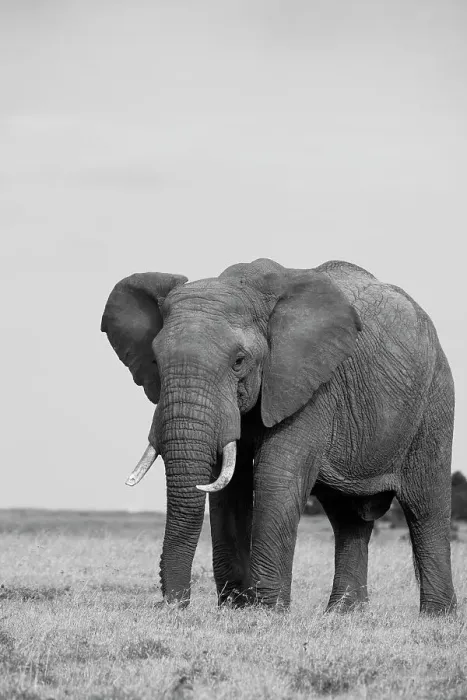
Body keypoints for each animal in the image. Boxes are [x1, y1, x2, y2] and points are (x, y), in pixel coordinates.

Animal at [101, 258, 456, 614]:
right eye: (156, 361)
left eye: (239, 361)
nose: (174, 604)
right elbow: (230, 487)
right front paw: (236, 608)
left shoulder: (307, 382)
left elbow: (276, 476)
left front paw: (266, 611)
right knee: (348, 518)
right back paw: (343, 614)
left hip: (435, 401)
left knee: (426, 507)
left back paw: (435, 616)